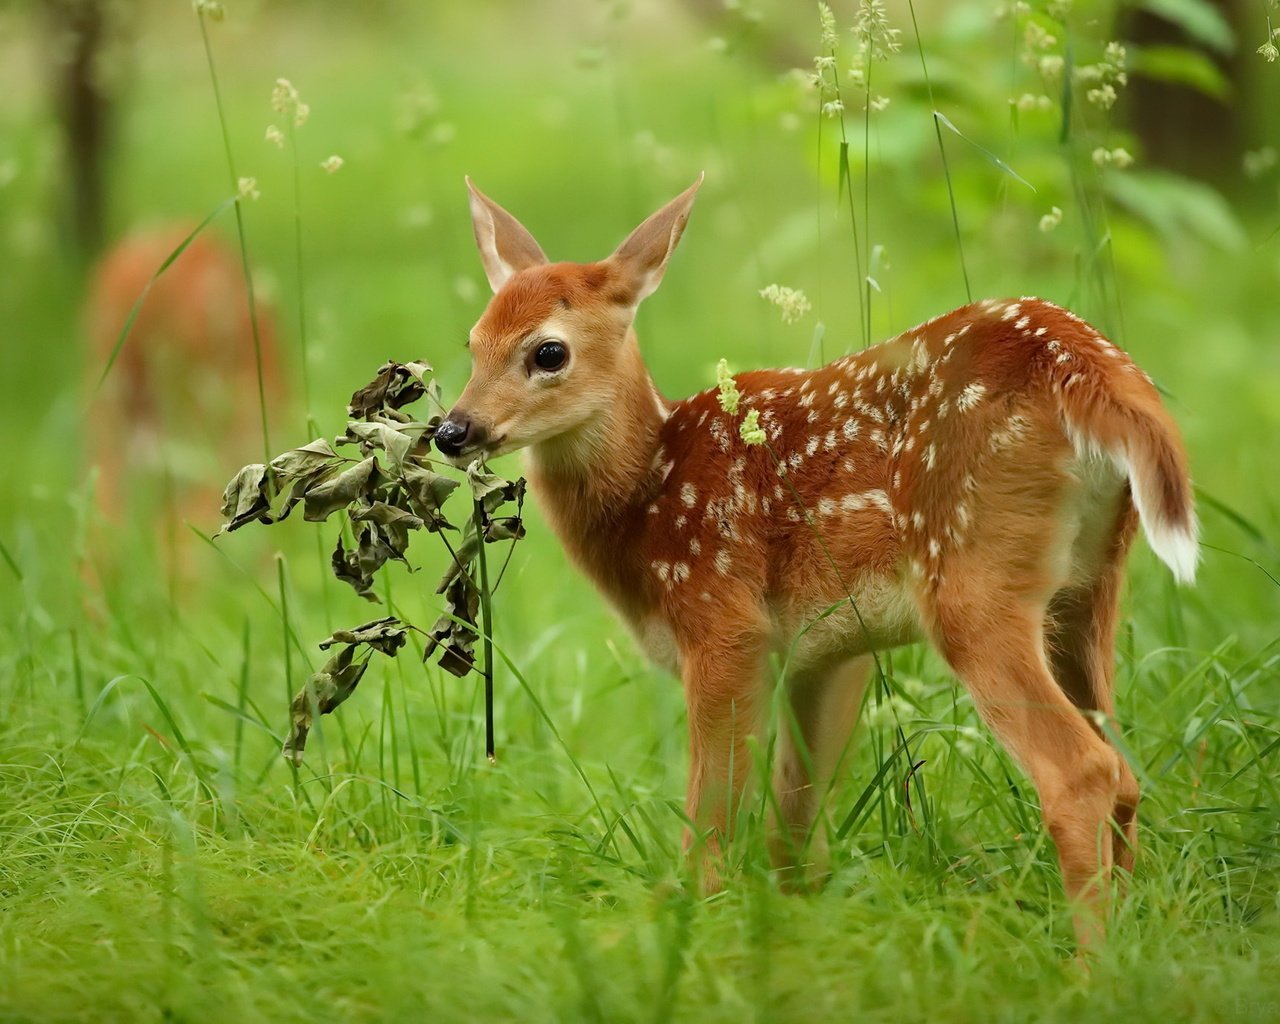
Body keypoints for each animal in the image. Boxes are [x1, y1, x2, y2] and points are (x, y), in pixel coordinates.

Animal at [435, 176, 1192, 952]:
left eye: (547, 353)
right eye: (472, 342)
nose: (452, 430)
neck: (648, 494)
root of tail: (1087, 367)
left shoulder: (724, 621)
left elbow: (714, 819)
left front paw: (688, 926)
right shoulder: (826, 650)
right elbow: (794, 826)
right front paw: (795, 930)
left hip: (971, 578)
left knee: (1082, 772)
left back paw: (1090, 964)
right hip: (1089, 586)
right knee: (1125, 769)